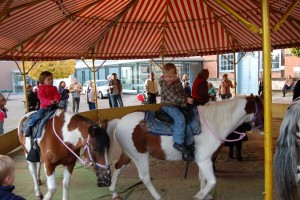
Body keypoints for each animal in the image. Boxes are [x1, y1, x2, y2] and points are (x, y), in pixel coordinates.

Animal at [106, 94, 264, 199]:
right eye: (262, 110)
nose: (263, 129)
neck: (213, 123)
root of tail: (120, 121)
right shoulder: (205, 160)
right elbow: (212, 181)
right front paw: (199, 196)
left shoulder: (203, 160)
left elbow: (202, 177)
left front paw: (205, 196)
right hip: (140, 156)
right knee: (144, 177)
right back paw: (158, 197)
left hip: (128, 154)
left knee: (118, 167)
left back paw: (114, 192)